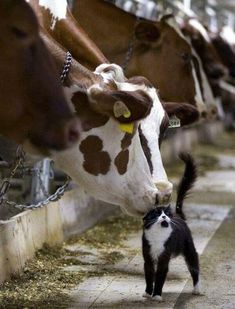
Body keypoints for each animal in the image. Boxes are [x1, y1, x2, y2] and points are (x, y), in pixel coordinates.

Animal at [142, 153, 199, 300]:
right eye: (157, 213)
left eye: (166, 213)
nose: (164, 216)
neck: (158, 234)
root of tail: (179, 216)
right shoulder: (148, 258)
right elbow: (149, 276)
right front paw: (147, 293)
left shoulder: (164, 259)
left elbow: (160, 278)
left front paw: (156, 295)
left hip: (190, 251)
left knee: (195, 268)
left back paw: (197, 290)